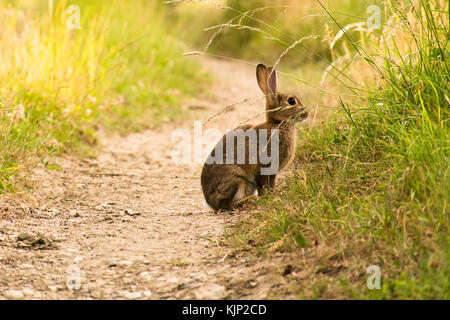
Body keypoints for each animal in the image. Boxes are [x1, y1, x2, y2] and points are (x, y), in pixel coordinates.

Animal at [202, 63, 308, 211]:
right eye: (291, 100)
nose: (307, 113)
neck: (277, 123)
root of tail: (211, 202)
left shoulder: (272, 173)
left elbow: (271, 185)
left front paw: (274, 196)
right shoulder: (263, 168)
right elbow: (264, 186)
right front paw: (270, 199)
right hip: (238, 179)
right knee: (228, 205)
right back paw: (251, 200)